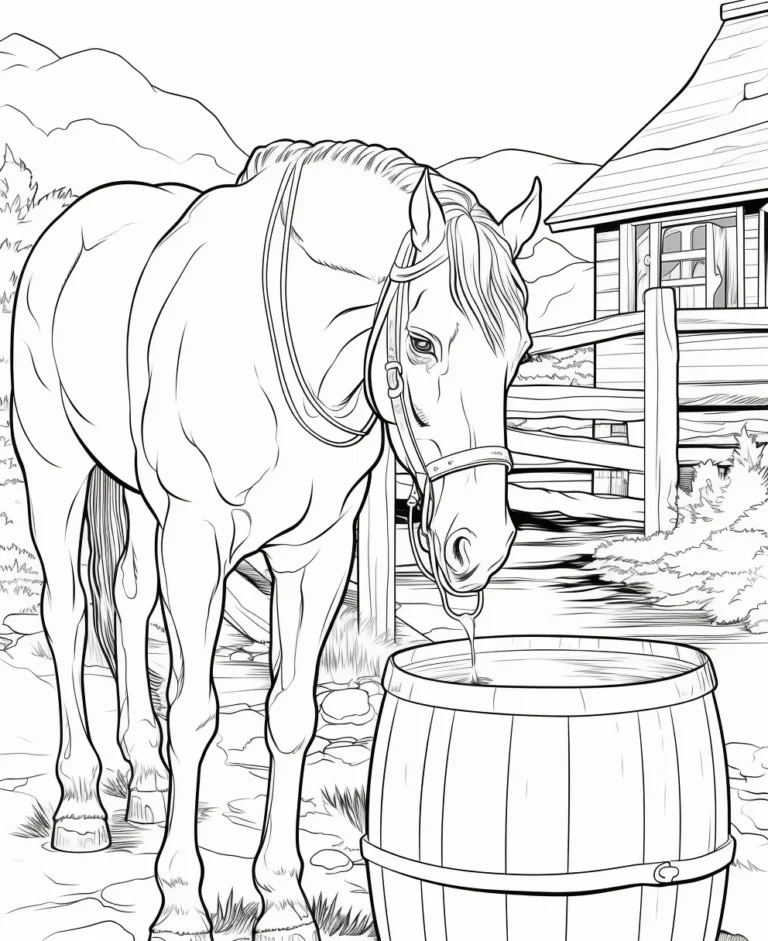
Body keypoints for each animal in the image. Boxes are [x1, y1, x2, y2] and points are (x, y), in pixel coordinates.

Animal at [11, 139, 539, 941]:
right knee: (67, 612)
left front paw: (286, 904)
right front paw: (181, 904)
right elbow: (195, 712)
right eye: (421, 342)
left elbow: (291, 716)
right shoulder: (197, 540)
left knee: (128, 604)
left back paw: (146, 783)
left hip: (139, 497)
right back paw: (80, 808)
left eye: (520, 355)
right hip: (55, 469)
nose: (477, 543)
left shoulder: (314, 555)